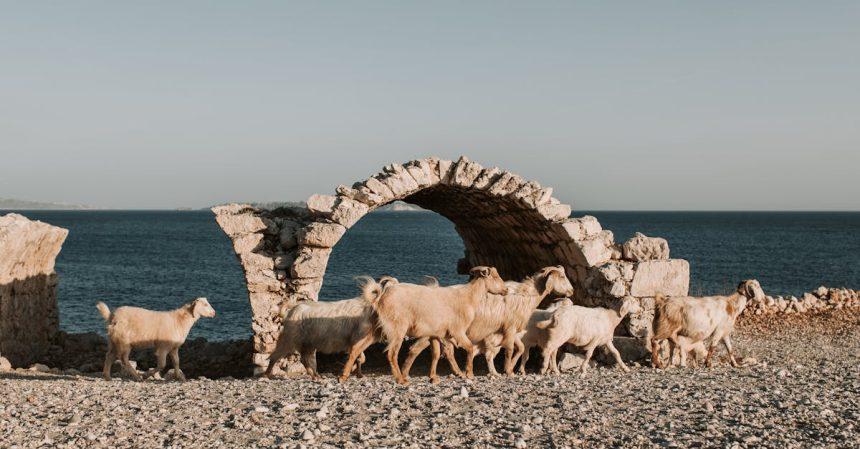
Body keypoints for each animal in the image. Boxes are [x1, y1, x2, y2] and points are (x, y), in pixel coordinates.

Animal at [360, 266, 508, 384]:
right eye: (495, 276)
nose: (506, 290)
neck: (469, 297)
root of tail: (381, 296)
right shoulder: (457, 331)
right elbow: (470, 348)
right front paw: (469, 374)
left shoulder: (436, 334)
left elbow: (436, 354)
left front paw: (433, 377)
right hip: (397, 328)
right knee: (392, 354)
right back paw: (401, 379)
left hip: (377, 328)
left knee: (359, 346)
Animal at [400, 266, 576, 378]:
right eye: (561, 276)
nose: (572, 291)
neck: (526, 295)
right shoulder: (510, 328)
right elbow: (510, 350)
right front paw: (508, 370)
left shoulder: (510, 330)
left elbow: (519, 349)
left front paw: (510, 368)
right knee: (445, 351)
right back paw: (458, 372)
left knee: (416, 349)